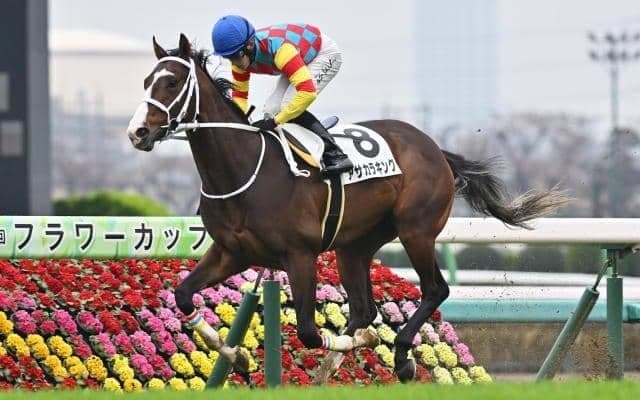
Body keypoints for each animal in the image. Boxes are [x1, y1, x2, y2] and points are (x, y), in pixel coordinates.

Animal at [126, 33, 569, 382]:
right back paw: (337, 364)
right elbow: (184, 295)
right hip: (353, 245)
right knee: (364, 309)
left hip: (416, 230)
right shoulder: (231, 252)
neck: (244, 168)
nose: (137, 132)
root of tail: (435, 149)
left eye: (171, 81)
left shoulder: (300, 256)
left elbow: (307, 331)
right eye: (146, 80)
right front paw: (237, 357)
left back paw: (402, 357)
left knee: (433, 290)